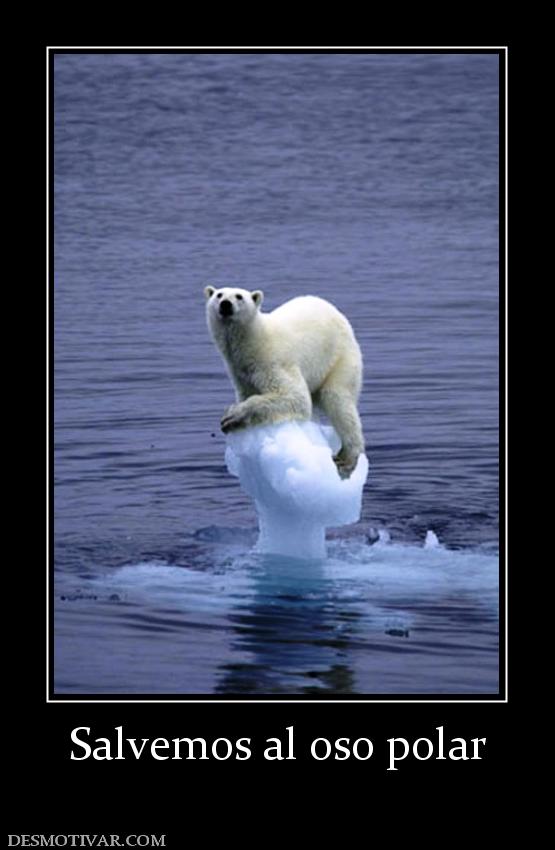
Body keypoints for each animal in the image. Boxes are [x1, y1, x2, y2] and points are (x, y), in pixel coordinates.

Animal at [204, 286, 365, 478]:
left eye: (239, 296)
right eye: (219, 294)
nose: (225, 304)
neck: (253, 341)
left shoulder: (273, 362)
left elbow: (295, 397)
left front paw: (232, 415)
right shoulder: (240, 373)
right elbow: (249, 393)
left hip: (339, 358)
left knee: (338, 401)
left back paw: (347, 458)